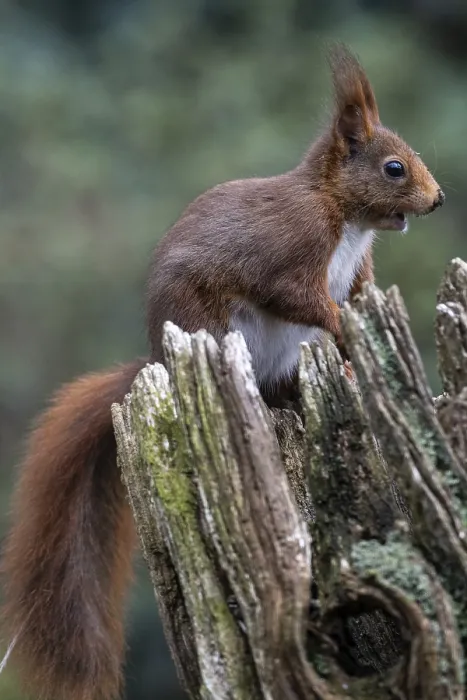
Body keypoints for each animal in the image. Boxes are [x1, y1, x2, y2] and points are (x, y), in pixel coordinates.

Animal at [1, 45, 444, 700]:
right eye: (394, 168)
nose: (438, 200)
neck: (344, 215)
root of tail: (157, 360)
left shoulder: (357, 269)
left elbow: (360, 296)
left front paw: (355, 345)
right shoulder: (291, 252)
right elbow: (299, 297)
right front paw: (342, 331)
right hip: (211, 324)